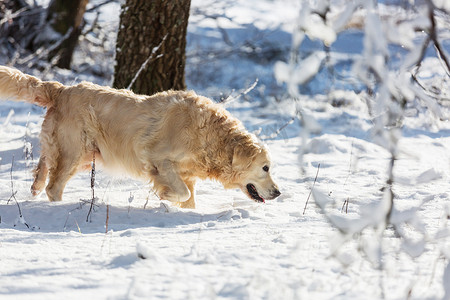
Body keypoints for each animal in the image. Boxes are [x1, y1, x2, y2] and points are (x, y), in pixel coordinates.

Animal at [0, 66, 280, 207]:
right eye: (265, 168)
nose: (278, 193)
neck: (209, 137)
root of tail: (62, 88)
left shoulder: (188, 175)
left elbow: (189, 199)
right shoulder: (159, 160)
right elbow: (181, 193)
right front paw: (165, 197)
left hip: (77, 151)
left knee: (44, 162)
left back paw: (35, 187)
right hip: (75, 151)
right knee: (54, 186)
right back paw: (55, 206)